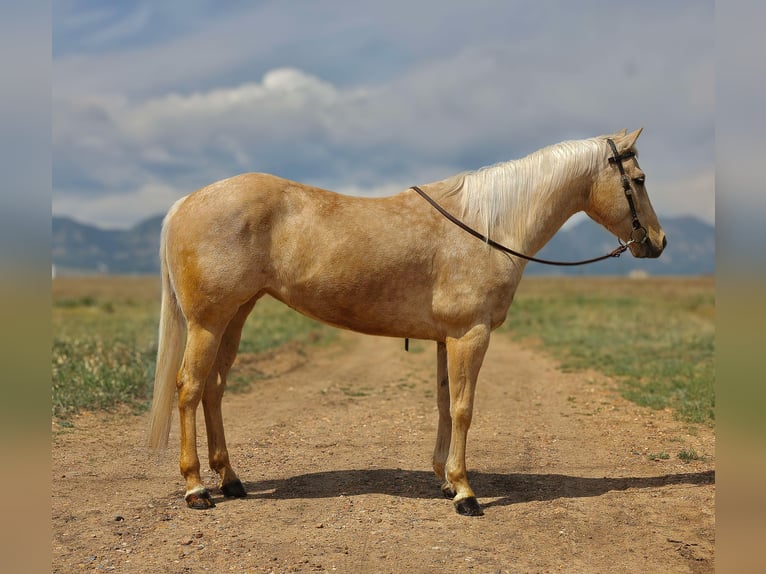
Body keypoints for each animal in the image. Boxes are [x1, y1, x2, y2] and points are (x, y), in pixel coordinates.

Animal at [148, 128, 666, 516]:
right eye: (638, 179)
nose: (658, 242)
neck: (488, 227)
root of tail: (186, 202)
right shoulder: (470, 335)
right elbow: (463, 408)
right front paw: (465, 493)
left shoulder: (445, 339)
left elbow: (443, 404)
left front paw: (445, 480)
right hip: (208, 322)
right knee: (189, 388)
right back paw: (197, 489)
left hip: (235, 316)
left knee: (214, 390)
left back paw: (231, 480)